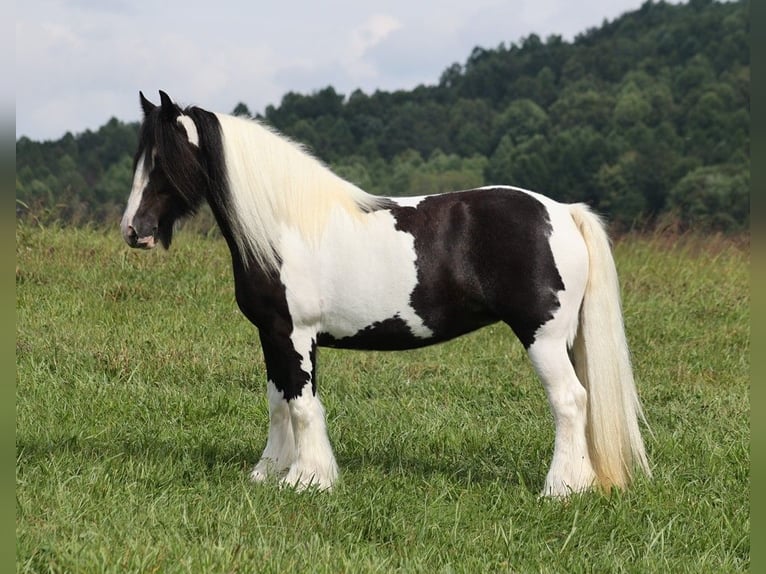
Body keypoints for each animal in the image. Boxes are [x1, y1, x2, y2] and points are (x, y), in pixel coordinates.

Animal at [123, 92, 652, 498]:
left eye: (163, 161)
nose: (134, 231)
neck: (286, 227)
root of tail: (563, 211)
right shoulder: (273, 335)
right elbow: (279, 402)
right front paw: (269, 473)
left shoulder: (295, 335)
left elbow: (302, 405)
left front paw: (307, 481)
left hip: (543, 337)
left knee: (570, 402)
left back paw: (560, 489)